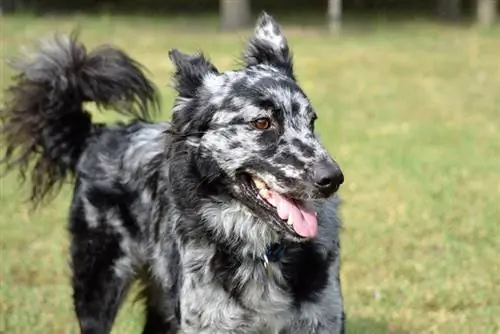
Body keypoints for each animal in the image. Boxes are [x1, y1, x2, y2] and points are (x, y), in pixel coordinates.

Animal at [0, 11, 344, 332]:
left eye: (311, 122)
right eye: (262, 122)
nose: (333, 179)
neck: (262, 253)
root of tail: (98, 134)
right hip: (98, 286)